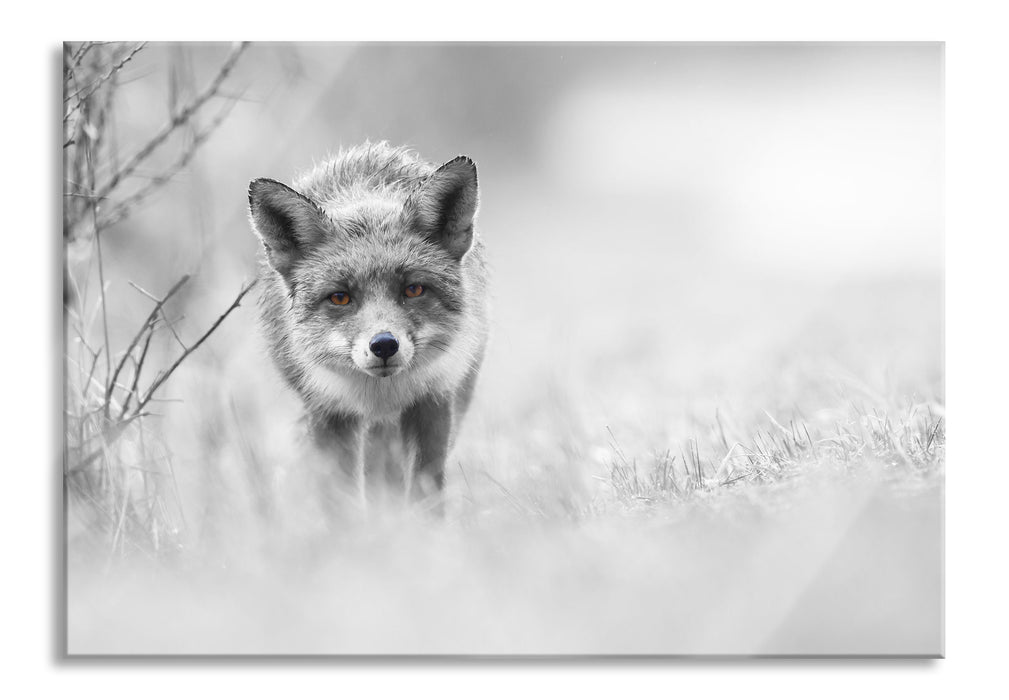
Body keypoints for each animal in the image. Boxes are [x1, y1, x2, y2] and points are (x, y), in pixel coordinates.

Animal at [247, 141, 489, 508]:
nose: (384, 345)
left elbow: (424, 492)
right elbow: (341, 502)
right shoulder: (328, 412)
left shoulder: (433, 400)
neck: (381, 395)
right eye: (340, 297)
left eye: (413, 289)